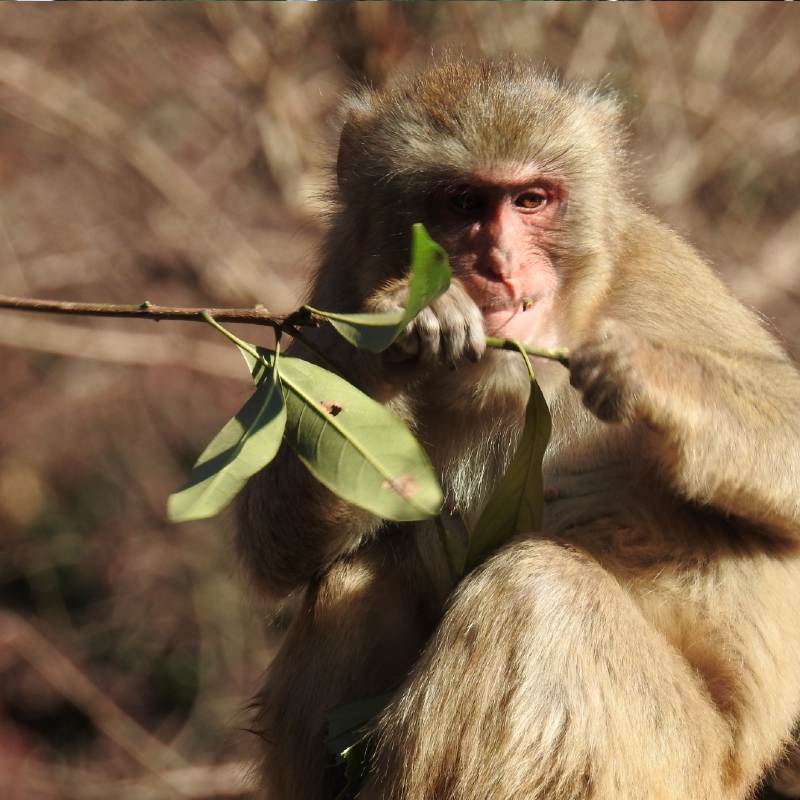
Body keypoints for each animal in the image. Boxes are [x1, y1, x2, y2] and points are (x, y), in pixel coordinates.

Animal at [236, 62, 800, 800]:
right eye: (462, 202)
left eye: (532, 200)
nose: (500, 264)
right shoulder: (334, 306)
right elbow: (274, 545)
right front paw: (408, 320)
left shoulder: (660, 276)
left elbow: (789, 426)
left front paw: (653, 373)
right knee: (356, 576)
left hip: (678, 767)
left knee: (538, 593)